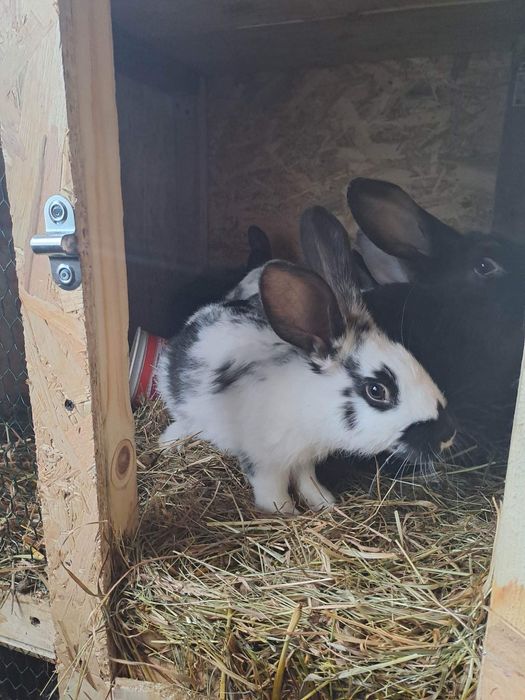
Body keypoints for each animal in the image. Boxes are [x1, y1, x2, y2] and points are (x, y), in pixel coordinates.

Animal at [156, 206, 455, 514]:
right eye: (377, 390)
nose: (448, 434)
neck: (309, 405)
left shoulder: (304, 458)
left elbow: (306, 480)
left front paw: (325, 503)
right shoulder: (264, 462)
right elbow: (272, 491)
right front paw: (284, 513)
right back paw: (167, 443)